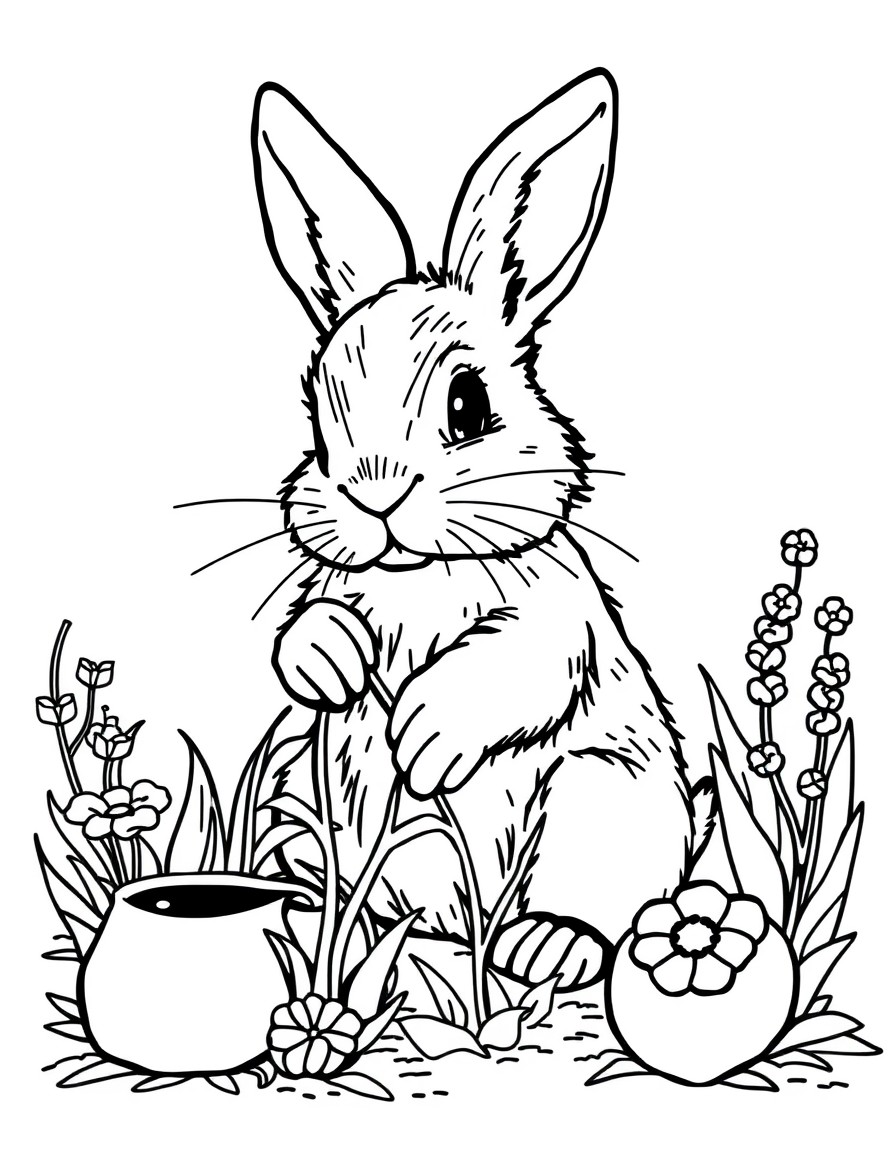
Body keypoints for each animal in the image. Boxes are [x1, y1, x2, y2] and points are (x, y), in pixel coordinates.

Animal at [252, 69, 710, 990]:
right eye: (320, 419)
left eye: (469, 404)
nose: (374, 497)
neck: (418, 576)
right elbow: (304, 633)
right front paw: (337, 660)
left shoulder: (557, 612)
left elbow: (516, 663)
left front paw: (422, 736)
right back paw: (327, 918)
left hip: (601, 797)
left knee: (594, 905)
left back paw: (547, 945)